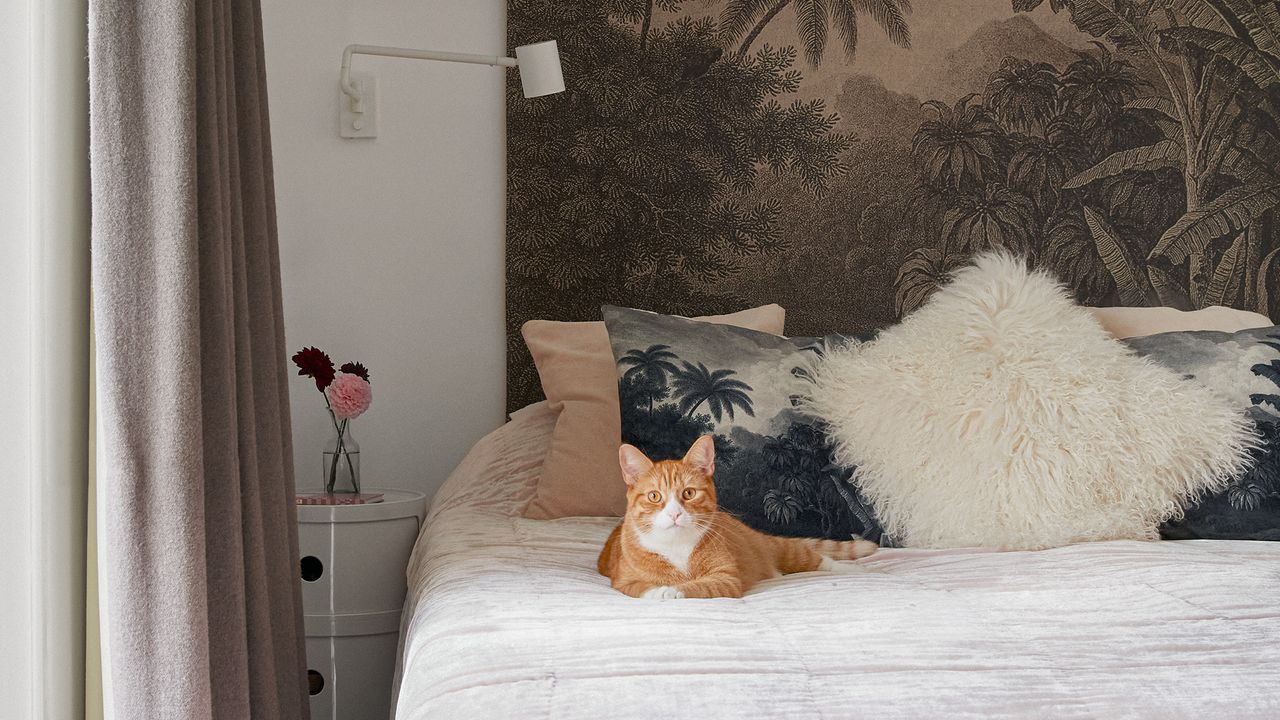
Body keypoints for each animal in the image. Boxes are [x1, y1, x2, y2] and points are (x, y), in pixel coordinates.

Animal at [593, 435, 875, 597]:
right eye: (654, 496)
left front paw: (674, 591)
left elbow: (699, 585)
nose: (674, 513)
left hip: (785, 550)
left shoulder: (725, 578)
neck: (676, 547)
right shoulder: (624, 581)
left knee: (818, 559)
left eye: (688, 493)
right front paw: (660, 591)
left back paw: (856, 571)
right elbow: (642, 588)